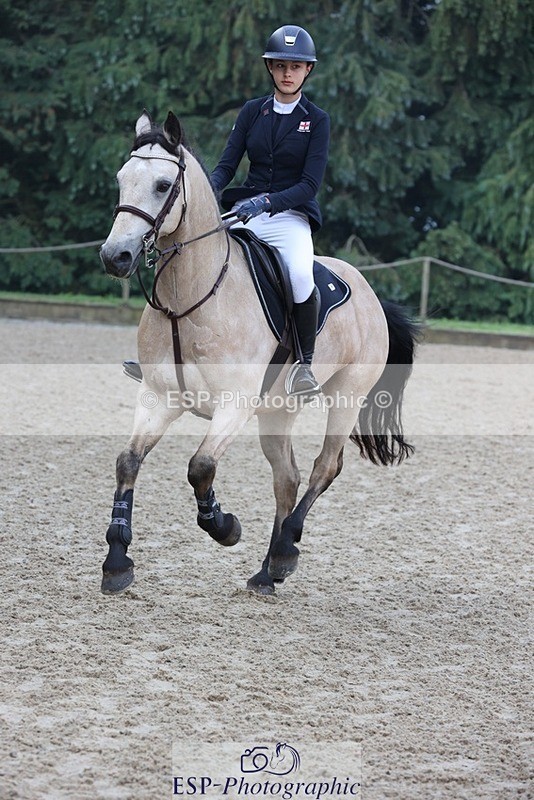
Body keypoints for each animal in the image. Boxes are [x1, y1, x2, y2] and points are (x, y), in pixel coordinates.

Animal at [99, 110, 418, 597]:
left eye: (161, 185)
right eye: (121, 179)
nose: (115, 256)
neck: (188, 300)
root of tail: (368, 290)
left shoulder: (234, 404)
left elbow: (200, 466)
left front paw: (224, 526)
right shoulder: (159, 397)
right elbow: (127, 462)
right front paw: (116, 561)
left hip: (346, 396)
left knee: (325, 466)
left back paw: (285, 550)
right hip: (277, 409)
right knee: (287, 478)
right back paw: (268, 572)